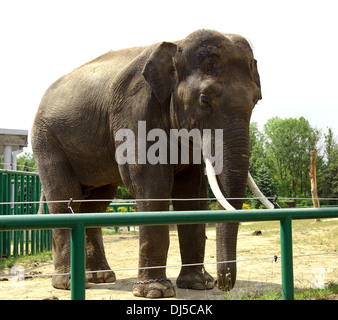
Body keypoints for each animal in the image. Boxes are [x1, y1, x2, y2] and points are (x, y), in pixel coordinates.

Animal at [31, 28, 270, 298]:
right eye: (204, 99)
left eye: (256, 100)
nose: (221, 284)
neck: (176, 46)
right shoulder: (134, 110)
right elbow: (151, 184)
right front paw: (156, 291)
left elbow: (191, 193)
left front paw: (198, 284)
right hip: (46, 138)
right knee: (64, 196)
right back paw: (69, 283)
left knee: (96, 204)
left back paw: (100, 277)